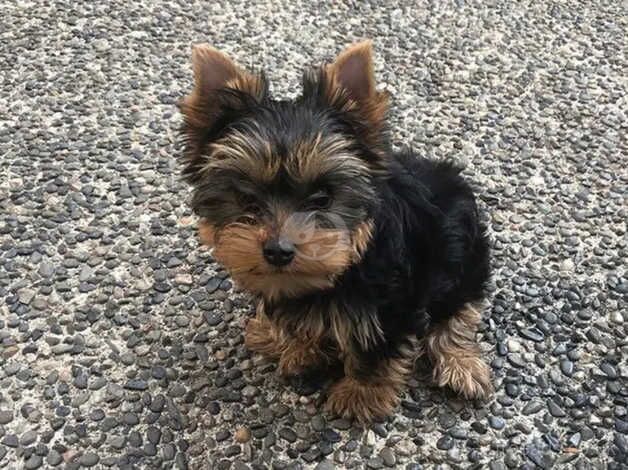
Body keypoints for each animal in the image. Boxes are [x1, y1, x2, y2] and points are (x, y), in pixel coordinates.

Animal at [179, 40, 494, 422]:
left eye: (323, 198)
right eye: (246, 198)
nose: (278, 250)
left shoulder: (389, 305)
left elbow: (375, 349)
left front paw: (361, 395)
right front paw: (298, 347)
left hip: (462, 255)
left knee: (456, 310)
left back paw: (461, 363)